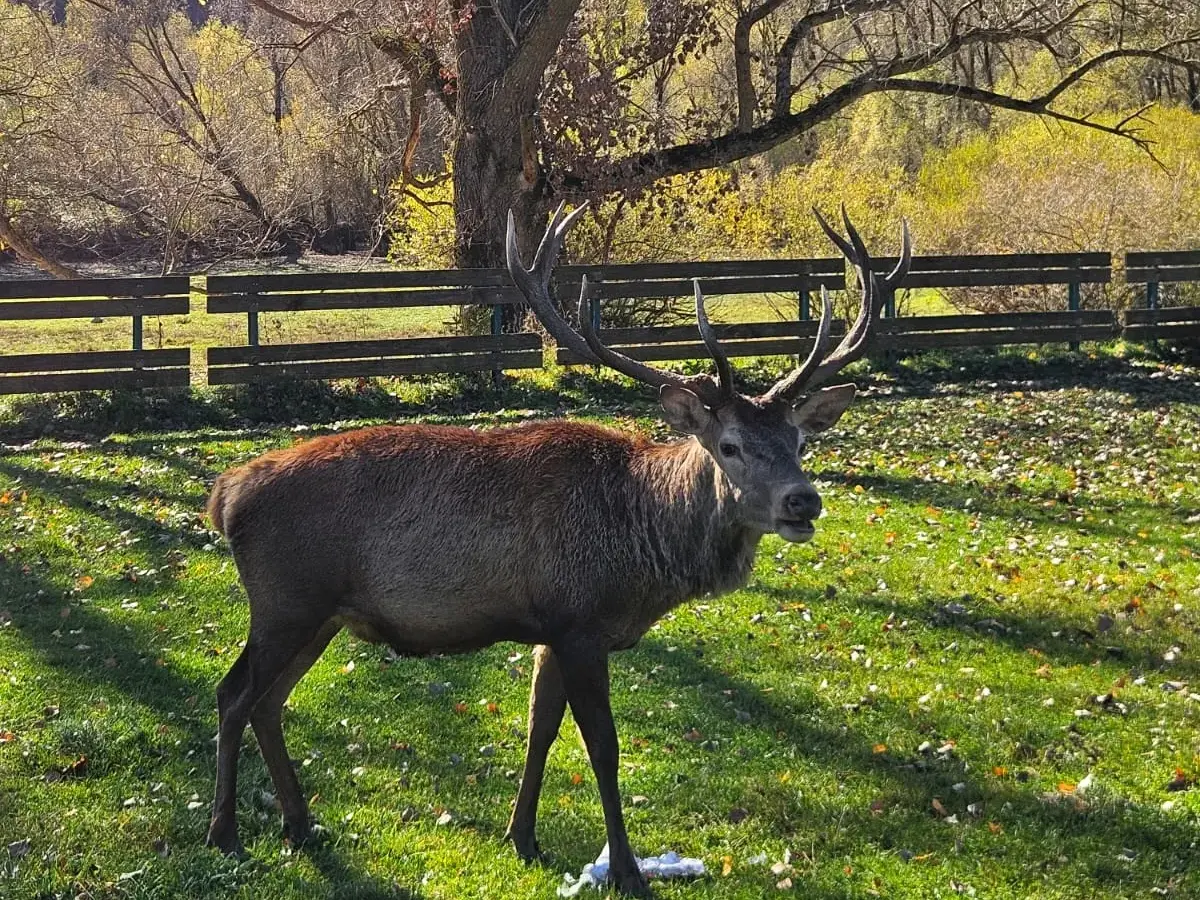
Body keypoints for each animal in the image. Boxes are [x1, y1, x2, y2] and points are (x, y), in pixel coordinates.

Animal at [203, 201, 910, 897]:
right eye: (730, 445)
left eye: (799, 440)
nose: (802, 501)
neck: (642, 553)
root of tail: (226, 493)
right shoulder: (580, 623)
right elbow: (603, 745)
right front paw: (626, 869)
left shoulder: (549, 627)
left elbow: (539, 729)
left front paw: (522, 836)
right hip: (286, 601)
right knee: (234, 693)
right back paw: (225, 833)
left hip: (320, 616)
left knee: (268, 702)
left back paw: (300, 823)